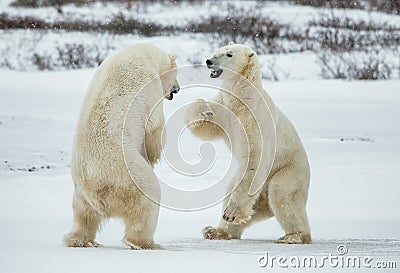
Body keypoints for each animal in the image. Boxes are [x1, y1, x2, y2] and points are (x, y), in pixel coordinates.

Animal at [64, 42, 180, 249]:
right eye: (176, 75)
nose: (177, 89)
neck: (143, 54)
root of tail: (97, 194)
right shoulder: (149, 83)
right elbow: (154, 127)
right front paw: (154, 154)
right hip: (129, 177)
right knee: (147, 201)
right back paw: (145, 243)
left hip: (80, 193)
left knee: (83, 215)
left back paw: (79, 240)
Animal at [185, 43, 312, 244]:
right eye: (219, 49)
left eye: (229, 54)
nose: (209, 61)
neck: (243, 97)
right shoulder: (226, 105)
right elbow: (207, 128)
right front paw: (204, 110)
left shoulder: (254, 119)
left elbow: (254, 156)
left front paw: (232, 213)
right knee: (232, 192)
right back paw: (216, 230)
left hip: (289, 170)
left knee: (283, 195)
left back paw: (293, 236)